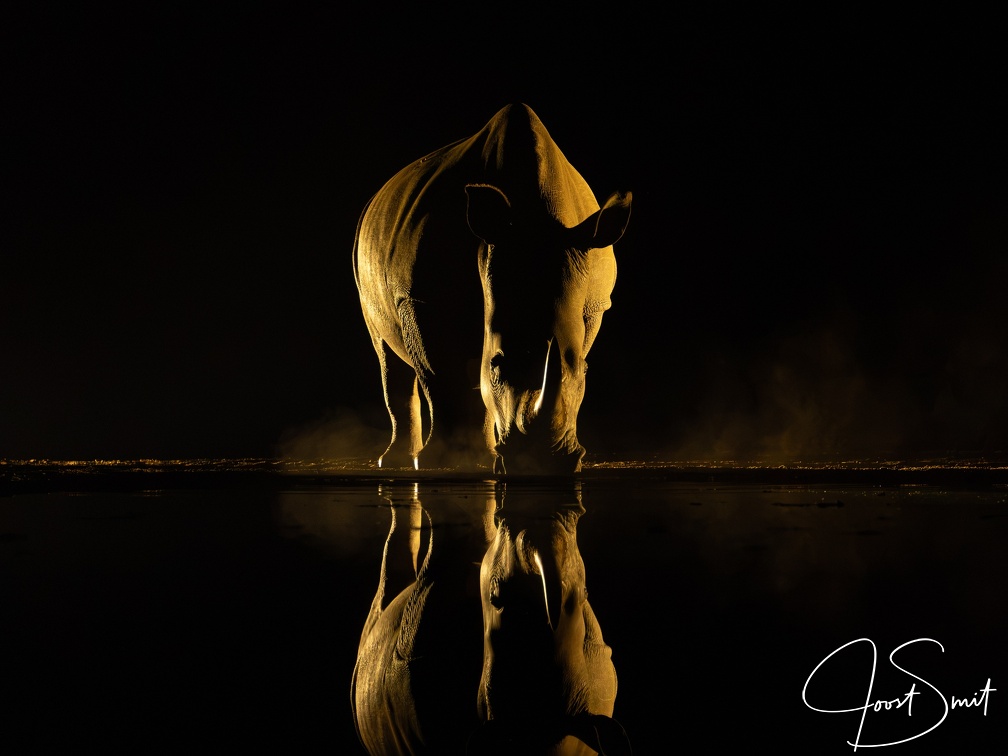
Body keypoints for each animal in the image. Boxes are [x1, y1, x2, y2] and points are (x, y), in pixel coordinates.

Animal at [353, 103, 632, 474]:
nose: (542, 463)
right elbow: (441, 375)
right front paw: (451, 462)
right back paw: (396, 461)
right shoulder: (421, 299)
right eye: (497, 364)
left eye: (585, 371)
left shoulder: (593, 305)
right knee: (384, 349)